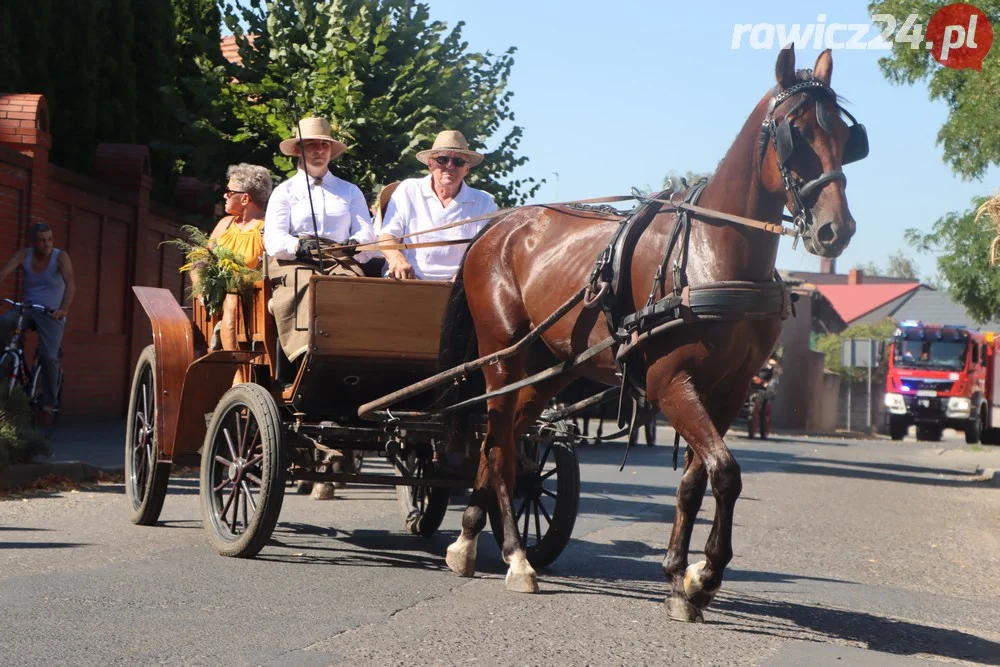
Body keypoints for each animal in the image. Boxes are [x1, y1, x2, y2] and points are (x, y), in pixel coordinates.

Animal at [442, 45, 864, 620]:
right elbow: (726, 473)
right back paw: (515, 557)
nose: (834, 230)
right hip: (502, 357)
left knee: (499, 441)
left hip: (551, 369)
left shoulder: (729, 392)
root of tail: (496, 228)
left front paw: (679, 578)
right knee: (502, 444)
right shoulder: (671, 384)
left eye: (846, 136)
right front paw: (704, 576)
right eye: (794, 131)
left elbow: (694, 480)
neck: (715, 257)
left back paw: (467, 539)